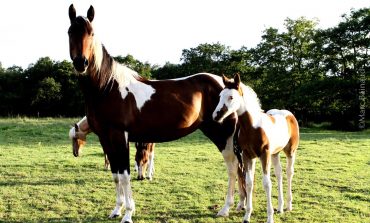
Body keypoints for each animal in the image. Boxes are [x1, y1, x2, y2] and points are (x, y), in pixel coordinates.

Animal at [68, 4, 249, 221]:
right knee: (239, 169)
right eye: (70, 32)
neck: (108, 88)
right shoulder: (106, 138)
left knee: (232, 169)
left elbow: (125, 175)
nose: (81, 63)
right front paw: (116, 210)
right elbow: (115, 174)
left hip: (224, 136)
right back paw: (240, 205)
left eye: (92, 33)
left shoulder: (120, 136)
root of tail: (231, 86)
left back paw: (225, 208)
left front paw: (128, 214)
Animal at [212, 74, 300, 223]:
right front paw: (247, 215)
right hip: (275, 154)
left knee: (289, 173)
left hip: (290, 151)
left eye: (231, 97)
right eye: (219, 96)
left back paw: (288, 205)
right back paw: (280, 207)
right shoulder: (247, 156)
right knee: (279, 173)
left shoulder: (264, 155)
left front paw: (269, 217)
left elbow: (266, 183)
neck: (252, 127)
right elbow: (249, 183)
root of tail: (288, 113)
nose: (216, 116)